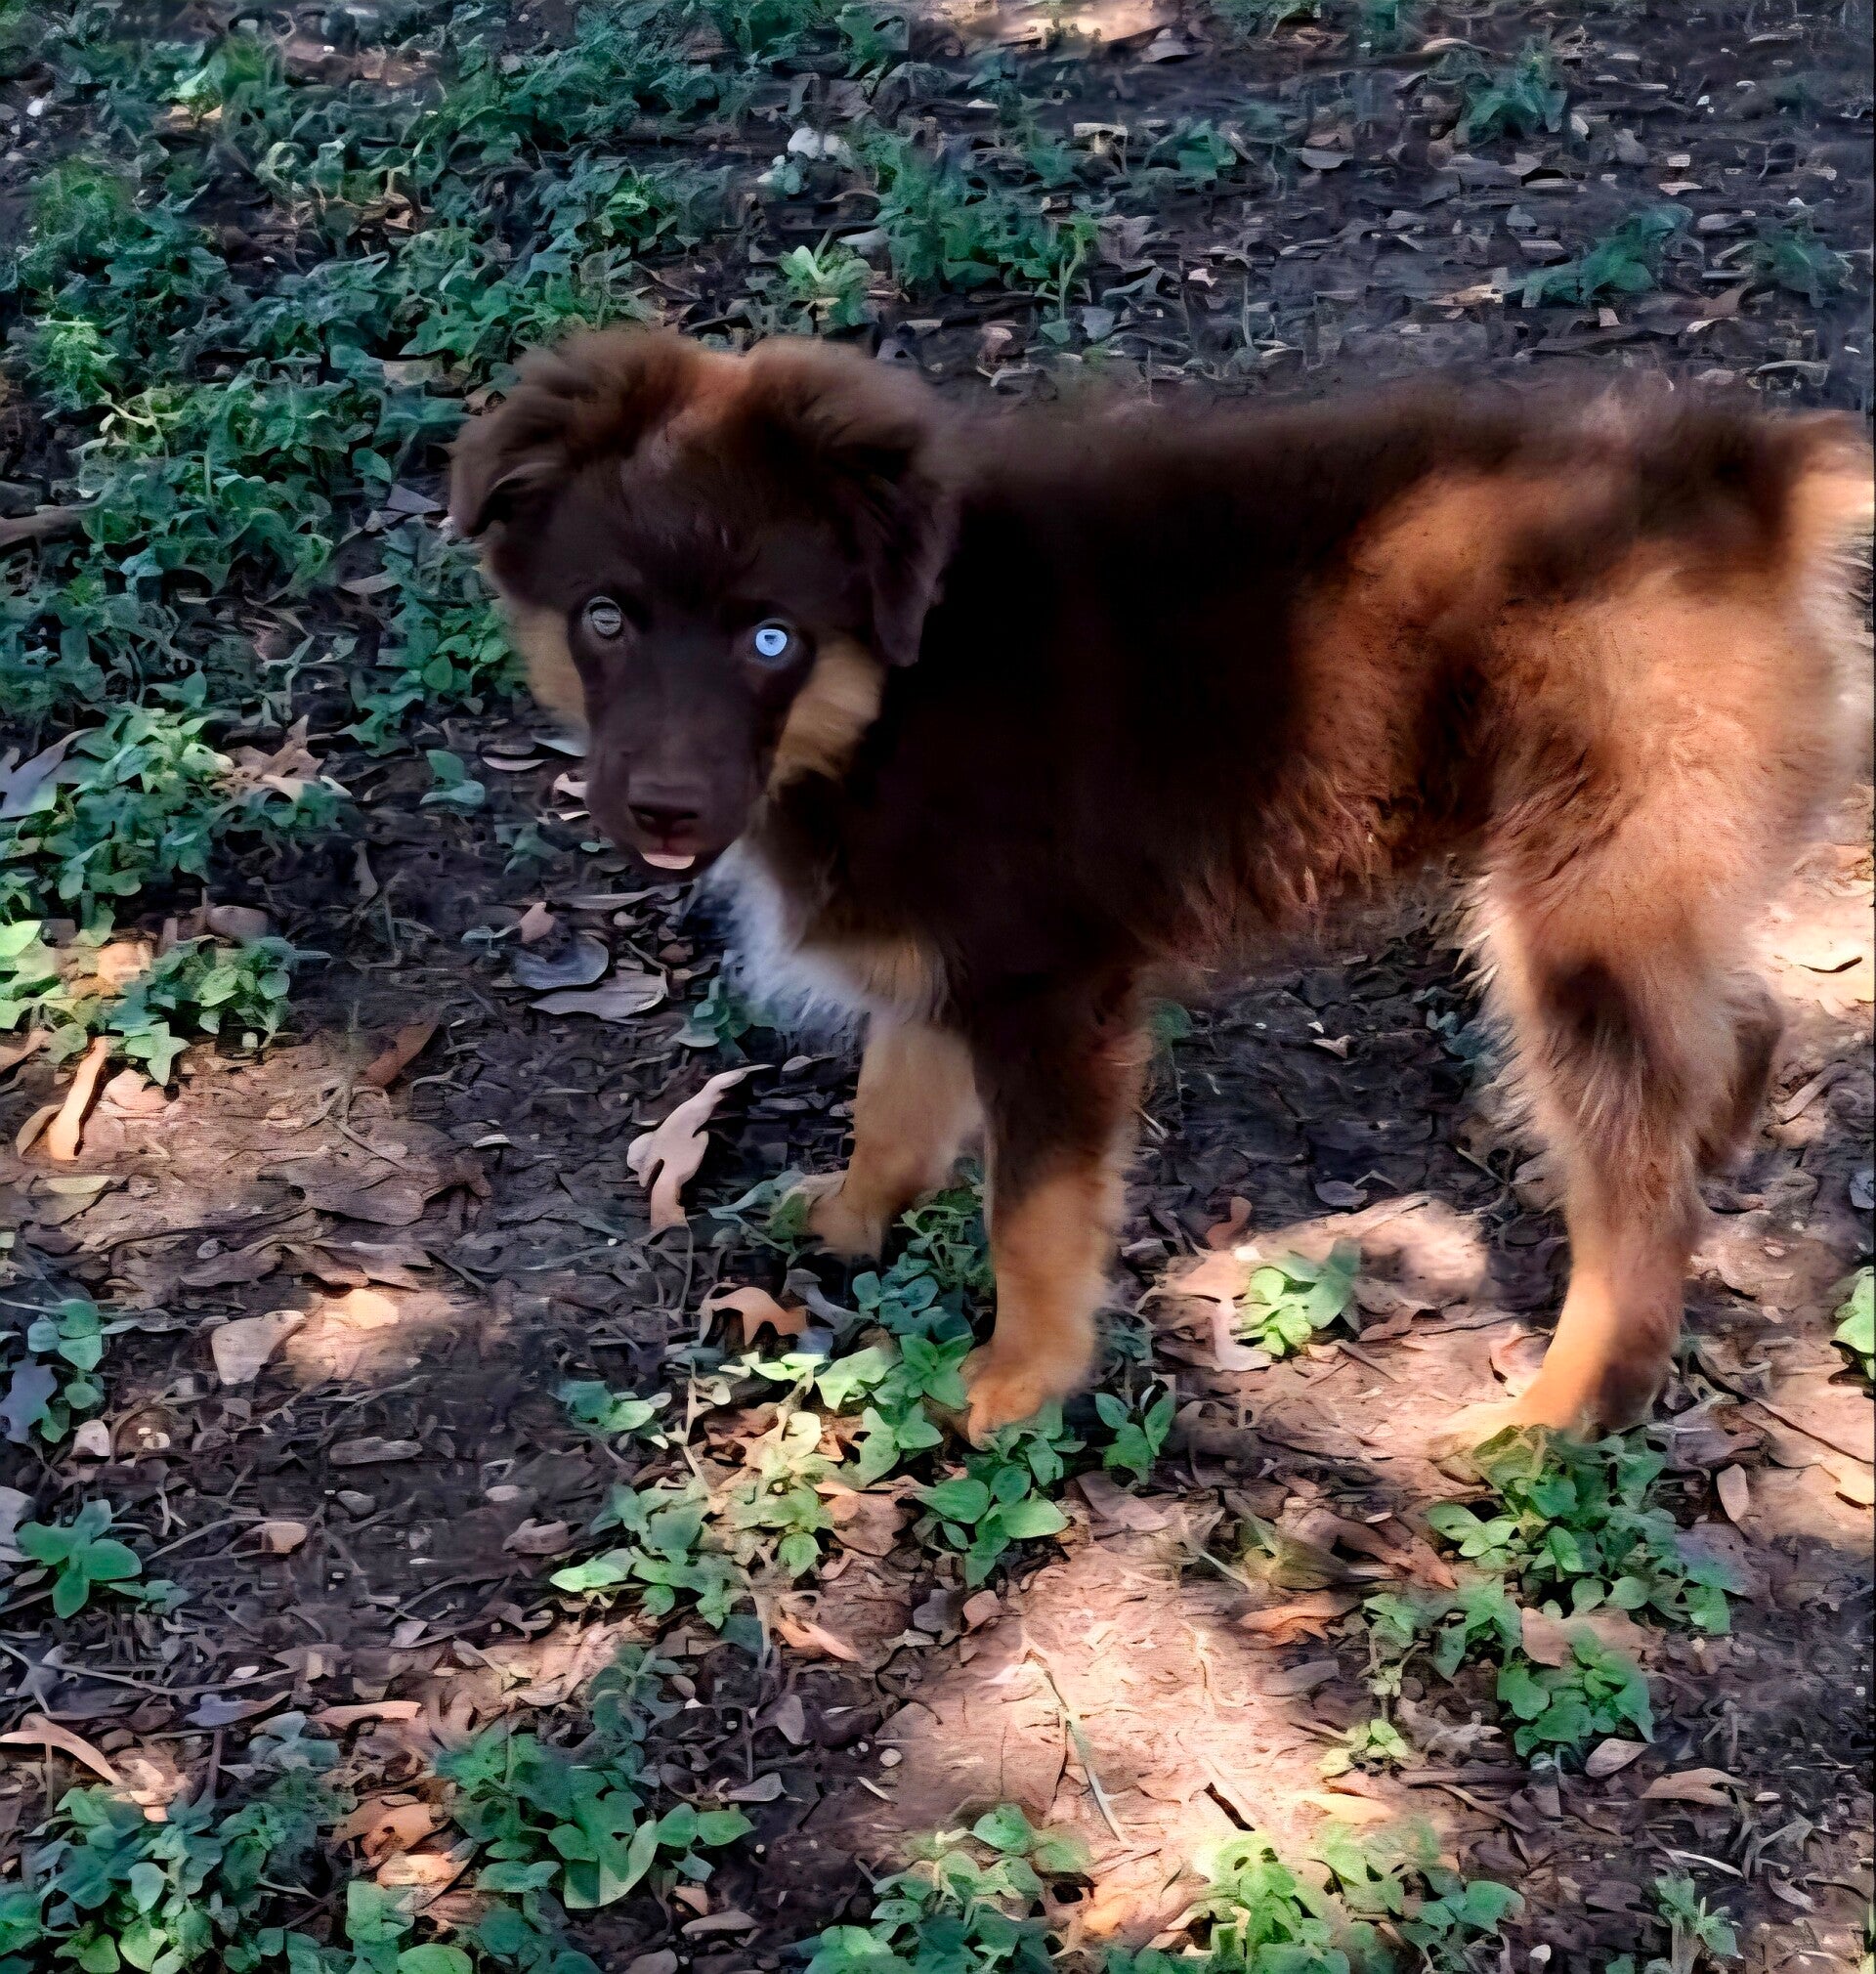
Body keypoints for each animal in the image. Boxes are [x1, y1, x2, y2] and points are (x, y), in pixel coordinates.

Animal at [450, 330, 1871, 1445]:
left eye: (770, 638)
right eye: (605, 617)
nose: (664, 813)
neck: (895, 691)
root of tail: (1752, 487)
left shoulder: (1050, 987)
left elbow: (1031, 1210)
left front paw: (1018, 1382)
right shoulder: (947, 948)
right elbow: (892, 1101)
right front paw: (852, 1218)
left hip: (1582, 902)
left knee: (1641, 1189)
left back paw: (1561, 1408)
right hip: (1654, 880)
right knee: (1731, 1030)